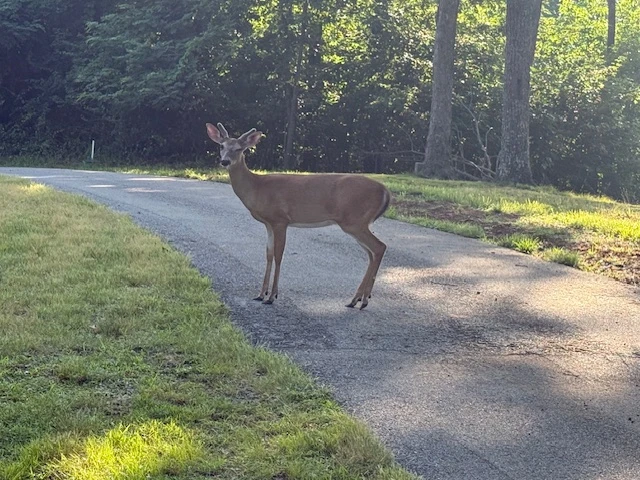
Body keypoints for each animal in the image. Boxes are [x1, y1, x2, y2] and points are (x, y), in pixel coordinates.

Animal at [206, 123, 390, 309]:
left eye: (239, 148)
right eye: (221, 146)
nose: (225, 161)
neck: (257, 188)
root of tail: (385, 191)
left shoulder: (281, 219)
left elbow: (279, 254)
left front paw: (272, 296)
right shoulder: (268, 223)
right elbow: (268, 254)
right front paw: (260, 294)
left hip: (354, 221)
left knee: (379, 247)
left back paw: (362, 300)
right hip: (358, 223)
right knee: (371, 253)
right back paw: (358, 299)